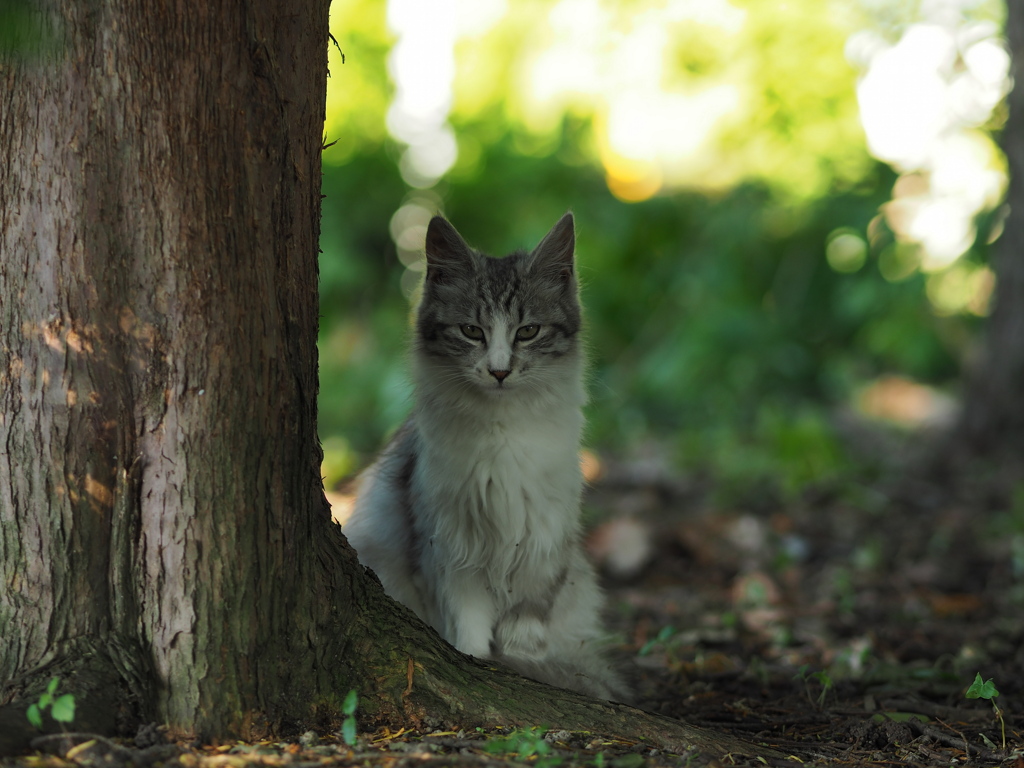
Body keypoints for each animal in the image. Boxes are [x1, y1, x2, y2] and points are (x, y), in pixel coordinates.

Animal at [344, 211, 626, 704]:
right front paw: (477, 663)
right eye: (472, 332)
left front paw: (523, 671)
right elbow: (469, 630)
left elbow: (524, 637)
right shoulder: (450, 550)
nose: (499, 371)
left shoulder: (541, 549)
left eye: (527, 331)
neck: (502, 434)